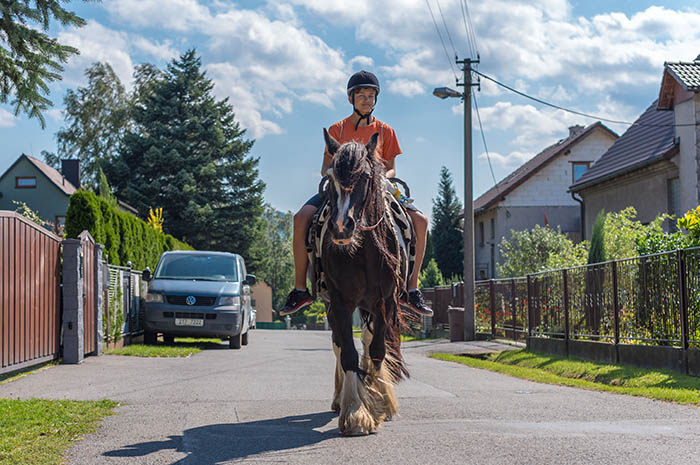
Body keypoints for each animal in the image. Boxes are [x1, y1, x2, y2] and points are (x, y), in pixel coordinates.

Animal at [320, 128, 408, 436]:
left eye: (366, 177)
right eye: (331, 177)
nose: (340, 227)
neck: (363, 250)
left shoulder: (385, 301)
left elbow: (377, 349)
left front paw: (380, 403)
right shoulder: (339, 301)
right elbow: (347, 352)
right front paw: (355, 412)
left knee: (369, 343)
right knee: (339, 344)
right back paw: (341, 398)